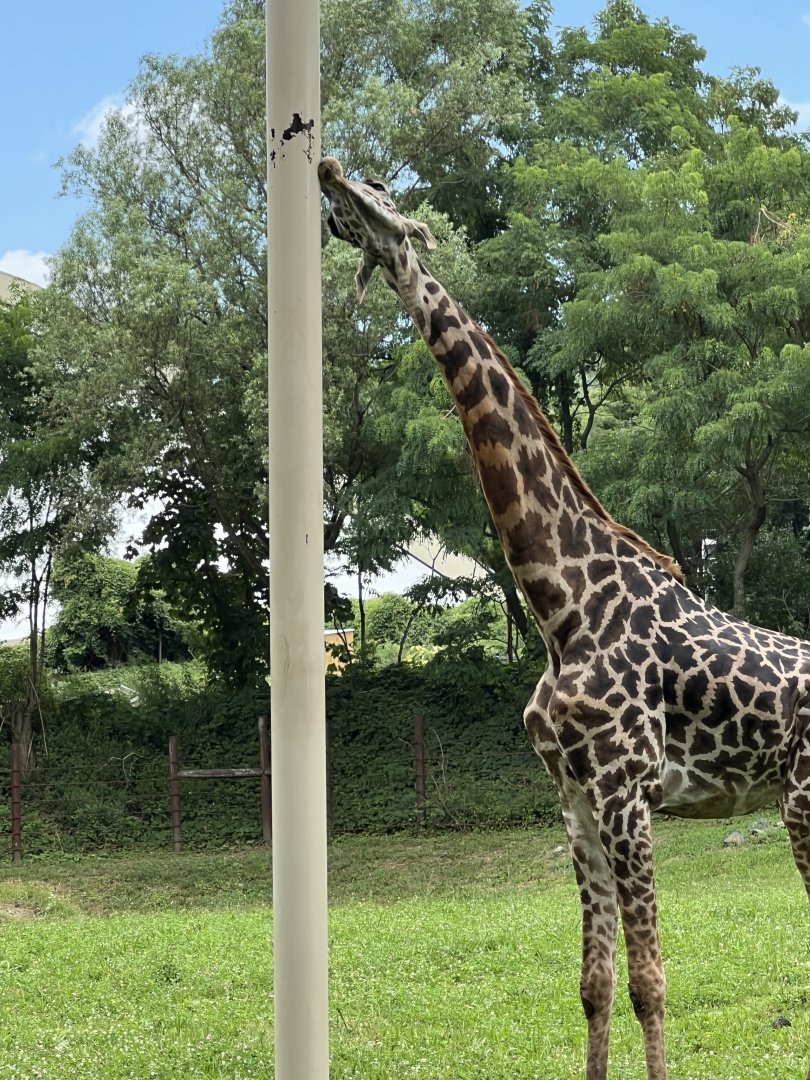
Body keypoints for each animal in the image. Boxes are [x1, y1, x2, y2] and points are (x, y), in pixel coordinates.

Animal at [317, 155, 810, 1080]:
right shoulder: (574, 801)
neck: (563, 607)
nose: (327, 172)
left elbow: (651, 981)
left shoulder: (627, 794)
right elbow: (595, 984)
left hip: (802, 800)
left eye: (383, 195)